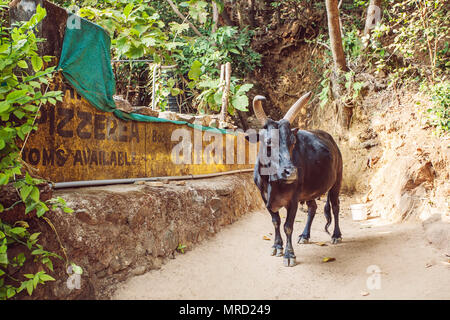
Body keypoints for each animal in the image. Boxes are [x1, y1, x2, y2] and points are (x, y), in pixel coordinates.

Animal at [246, 93, 342, 268]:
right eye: (268, 142)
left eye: (293, 141)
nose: (290, 172)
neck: (272, 182)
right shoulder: (264, 198)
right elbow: (276, 221)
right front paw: (277, 246)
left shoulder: (294, 199)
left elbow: (288, 226)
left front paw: (289, 255)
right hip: (310, 191)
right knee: (312, 208)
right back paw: (305, 235)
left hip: (337, 182)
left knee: (335, 206)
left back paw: (336, 235)